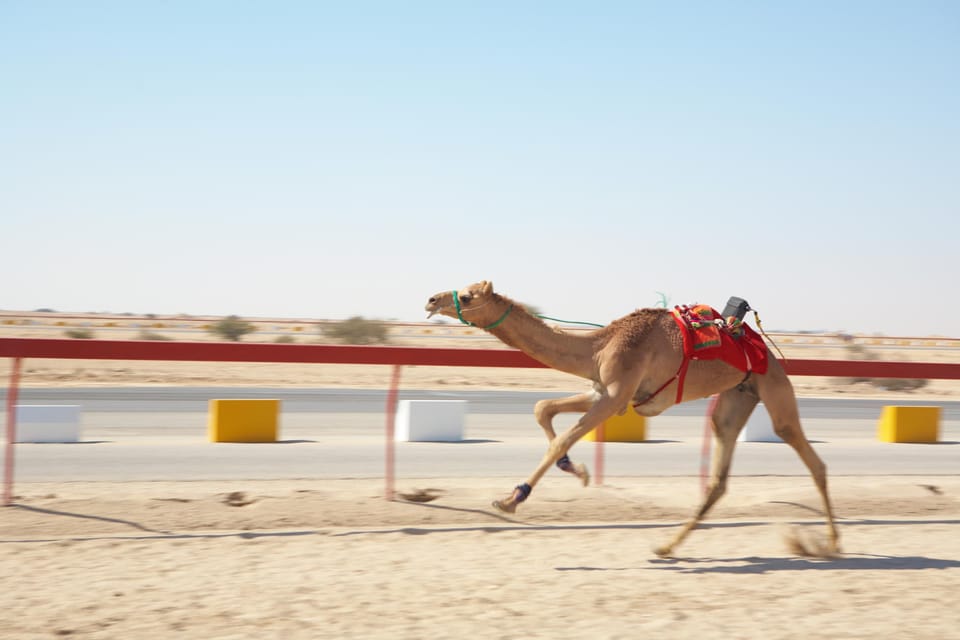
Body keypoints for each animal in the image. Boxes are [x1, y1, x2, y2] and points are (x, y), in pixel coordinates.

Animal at [425, 280, 839, 558]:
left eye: (467, 295)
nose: (431, 298)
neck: (598, 346)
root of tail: (764, 347)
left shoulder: (615, 395)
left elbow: (562, 437)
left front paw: (511, 500)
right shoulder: (603, 390)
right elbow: (543, 408)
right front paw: (577, 471)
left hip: (772, 386)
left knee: (808, 454)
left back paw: (834, 542)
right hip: (737, 396)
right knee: (719, 473)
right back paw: (666, 547)